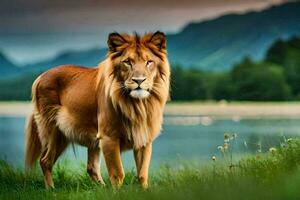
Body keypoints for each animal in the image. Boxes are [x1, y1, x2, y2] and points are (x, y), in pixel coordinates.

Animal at [24, 31, 170, 189]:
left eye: (149, 62)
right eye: (127, 62)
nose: (139, 80)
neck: (138, 105)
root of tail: (40, 77)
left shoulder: (144, 138)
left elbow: (142, 174)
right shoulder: (108, 137)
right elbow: (118, 174)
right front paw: (117, 192)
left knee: (91, 167)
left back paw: (101, 188)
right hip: (53, 131)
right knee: (45, 161)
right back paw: (51, 190)